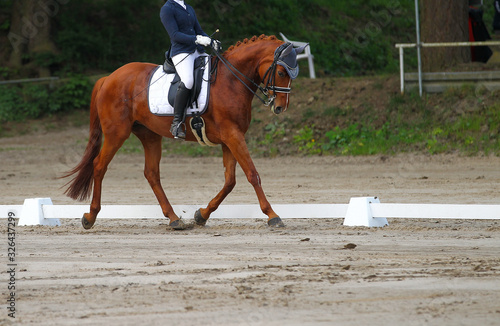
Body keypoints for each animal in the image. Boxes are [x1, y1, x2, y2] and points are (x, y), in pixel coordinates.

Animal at [62, 34, 304, 230]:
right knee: (99, 166)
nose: (280, 107)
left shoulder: (231, 138)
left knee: (151, 174)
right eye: (281, 71)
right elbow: (252, 174)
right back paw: (90, 217)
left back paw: (174, 219)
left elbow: (230, 181)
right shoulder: (232, 135)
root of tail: (108, 78)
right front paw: (272, 215)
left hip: (149, 135)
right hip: (116, 134)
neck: (231, 81)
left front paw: (201, 215)